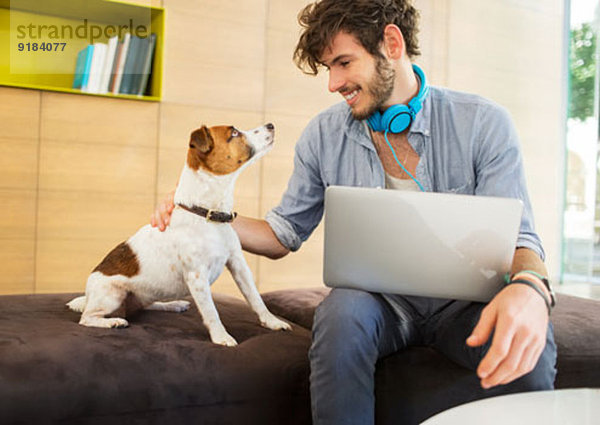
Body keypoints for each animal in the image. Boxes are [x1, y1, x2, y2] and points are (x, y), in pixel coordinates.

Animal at [67, 121, 292, 344]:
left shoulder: (238, 264)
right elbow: (211, 312)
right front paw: (221, 336)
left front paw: (272, 322)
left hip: (142, 295)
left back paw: (172, 304)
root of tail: (88, 295)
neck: (207, 216)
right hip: (112, 295)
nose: (271, 124)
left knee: (147, 306)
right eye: (234, 133)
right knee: (87, 318)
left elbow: (255, 298)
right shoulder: (197, 276)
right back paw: (112, 322)